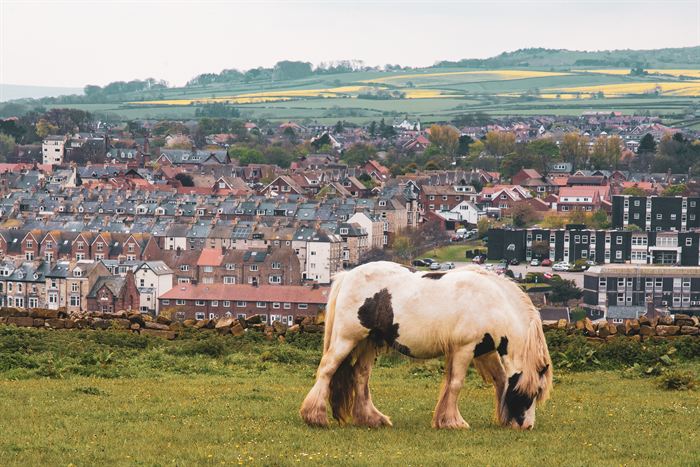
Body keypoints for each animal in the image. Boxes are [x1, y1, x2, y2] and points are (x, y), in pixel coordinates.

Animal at [300, 261, 553, 430]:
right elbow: (456, 383)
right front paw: (453, 421)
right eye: (533, 392)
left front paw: (500, 417)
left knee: (360, 376)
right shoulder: (465, 348)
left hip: (368, 342)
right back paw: (315, 416)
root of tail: (347, 275)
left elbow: (499, 380)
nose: (527, 426)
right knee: (327, 369)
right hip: (348, 338)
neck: (492, 302)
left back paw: (372, 419)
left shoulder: (484, 350)